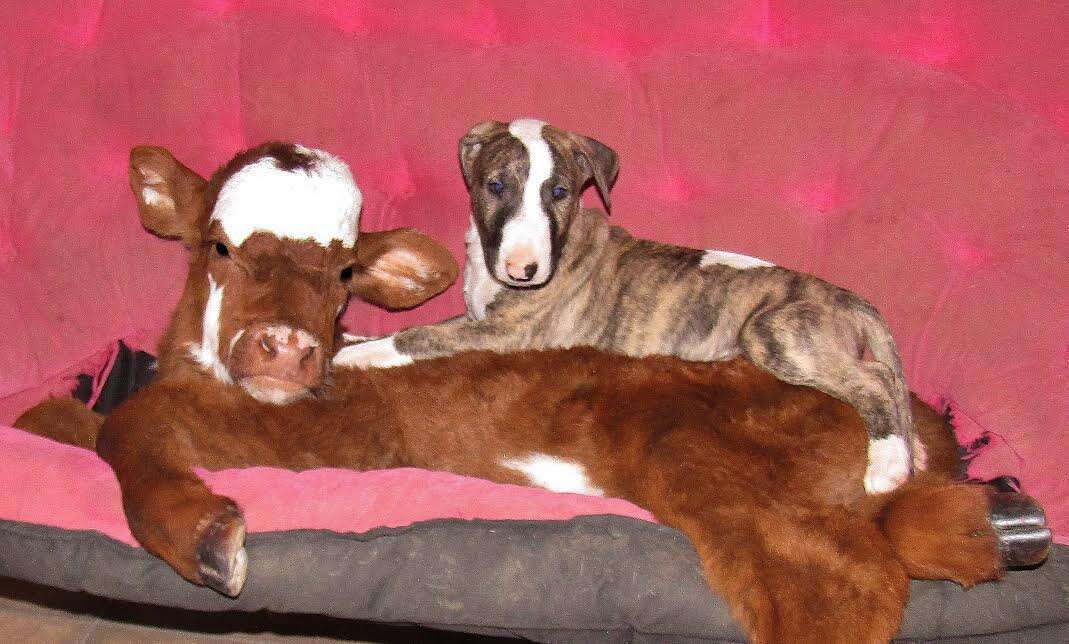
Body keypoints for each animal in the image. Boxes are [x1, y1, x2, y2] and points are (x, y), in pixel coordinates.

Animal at [333, 117, 919, 494]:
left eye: (561, 192)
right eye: (495, 186)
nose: (525, 271)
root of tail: (847, 297)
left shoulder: (506, 333)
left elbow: (419, 334)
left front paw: (354, 355)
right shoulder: (482, 317)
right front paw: (356, 338)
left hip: (775, 333)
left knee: (873, 381)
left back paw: (889, 464)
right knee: (885, 378)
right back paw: (915, 451)